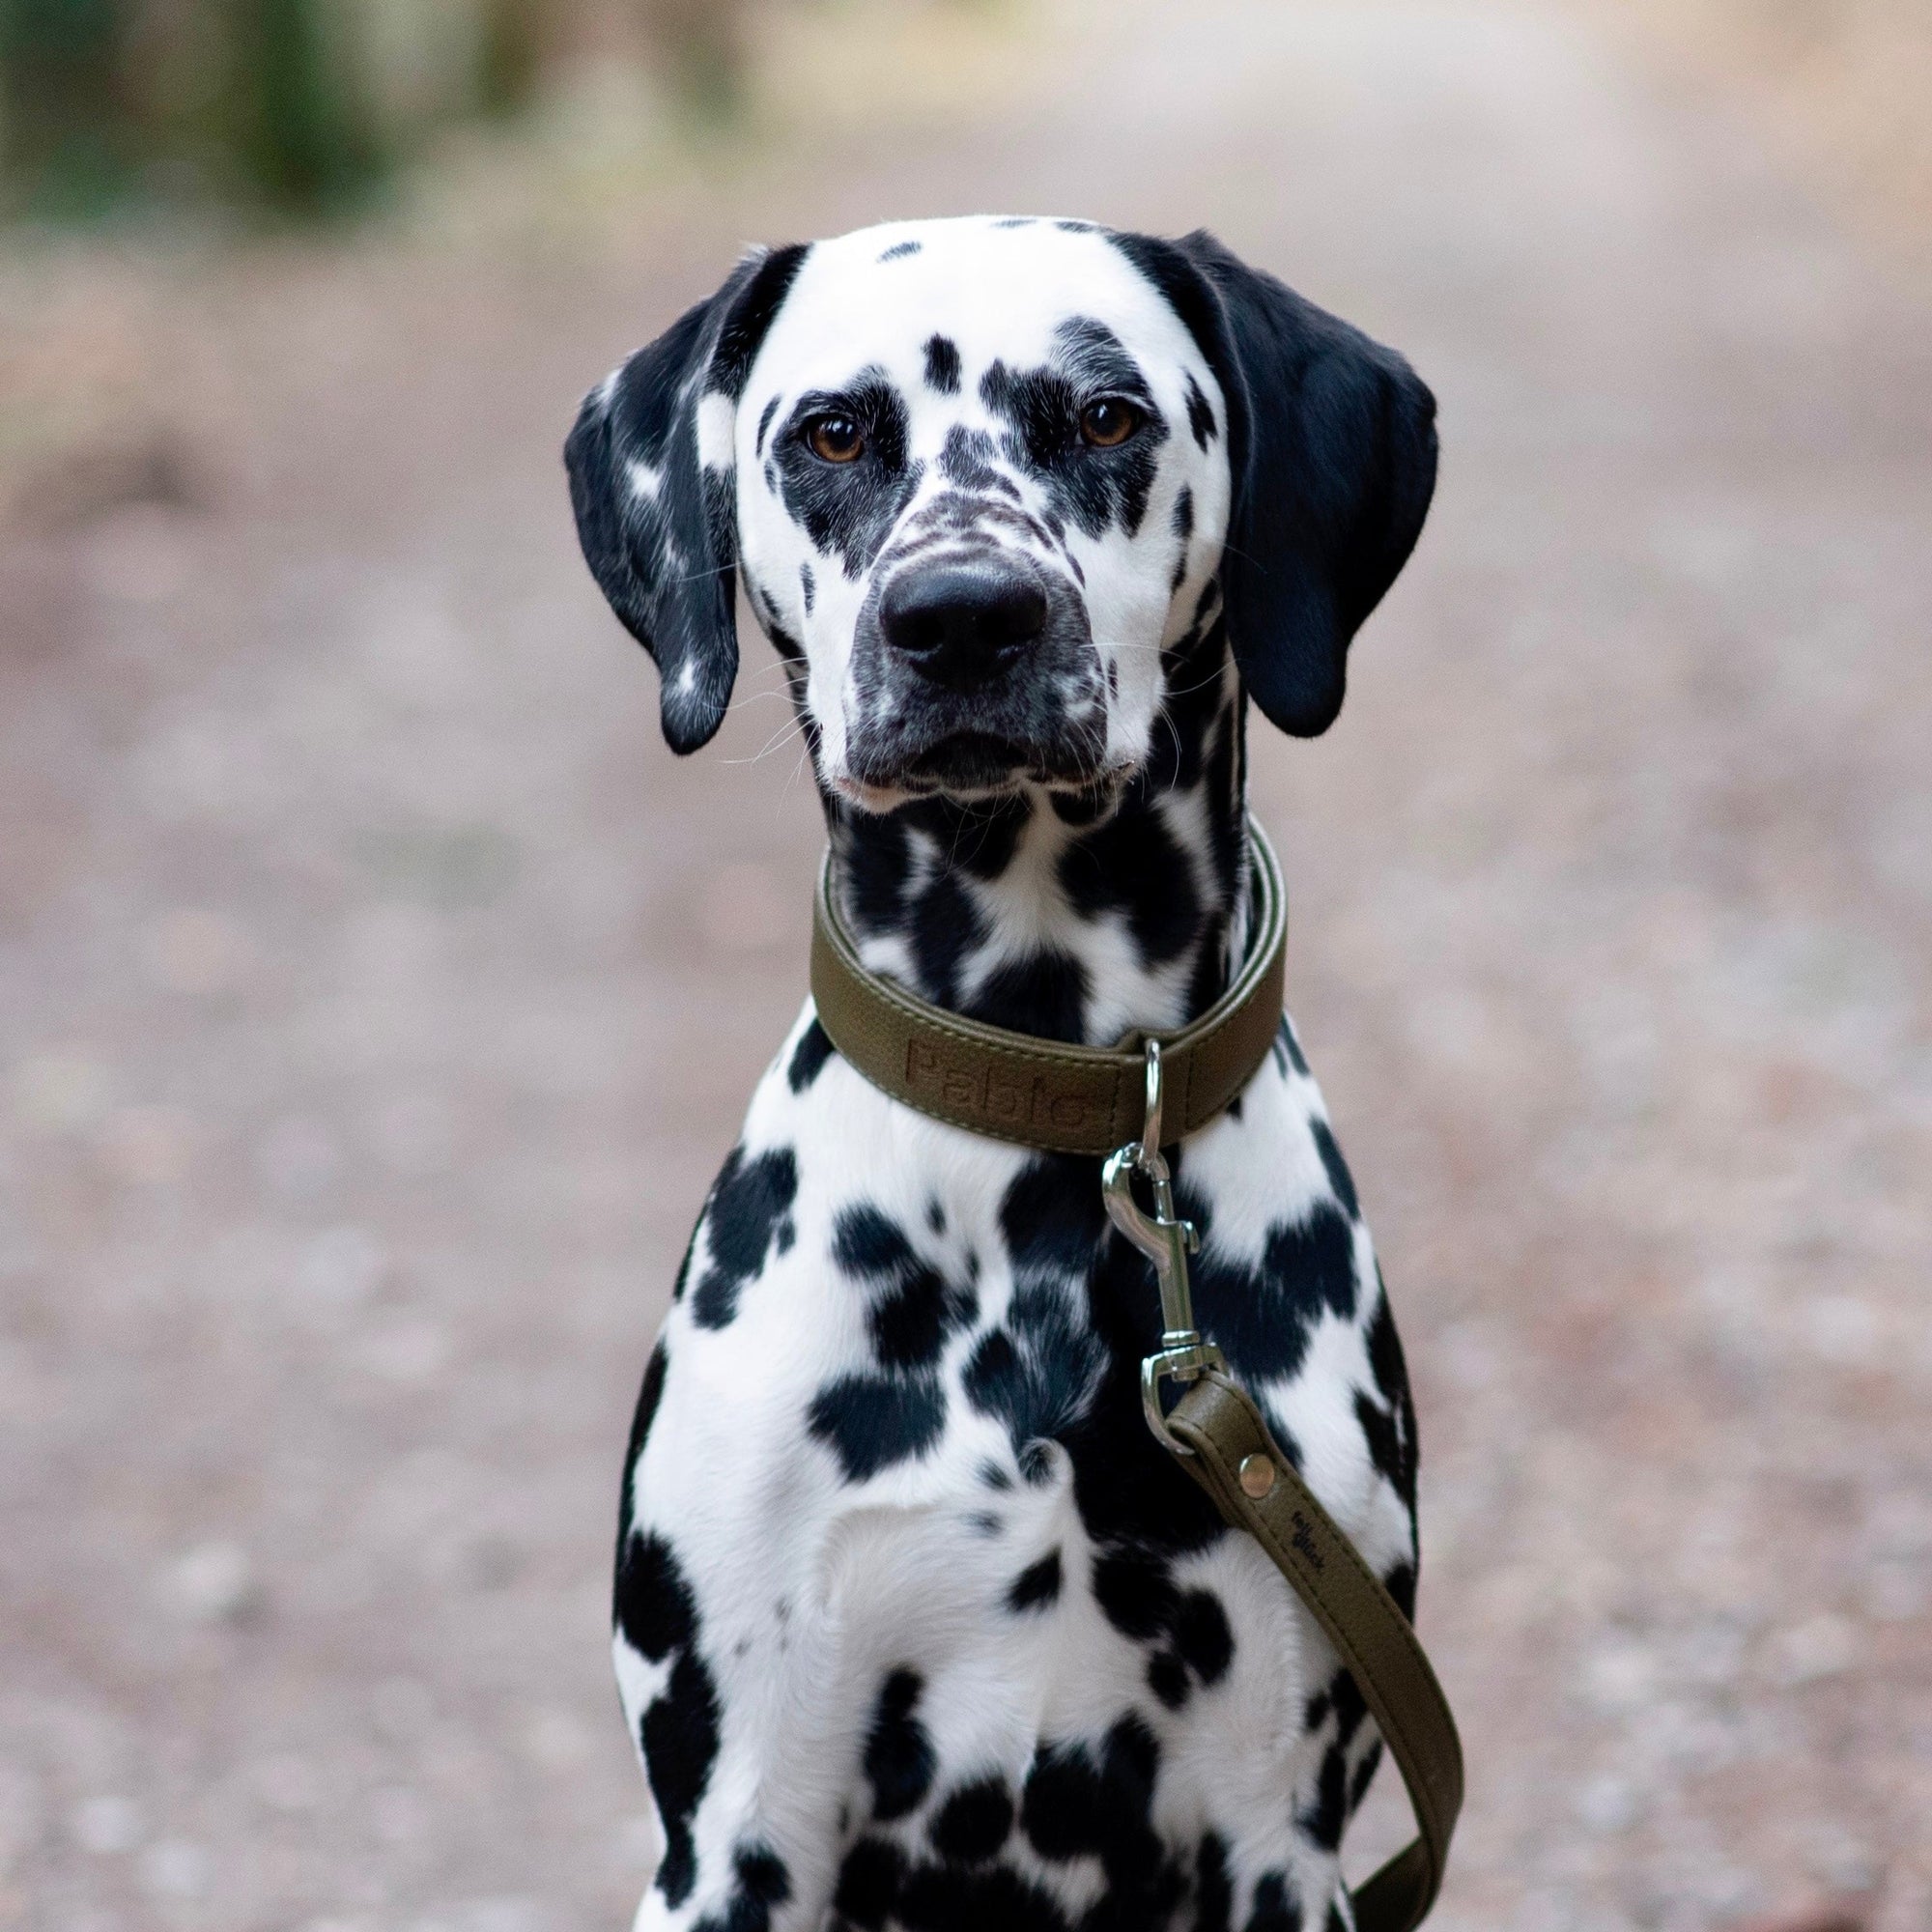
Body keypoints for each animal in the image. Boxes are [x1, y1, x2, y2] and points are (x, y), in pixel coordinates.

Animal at [560, 219, 1437, 1932]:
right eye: (833, 434)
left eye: (1106, 416)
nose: (963, 615)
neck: (1041, 1105)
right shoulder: (737, 1828)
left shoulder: (1279, 1829)